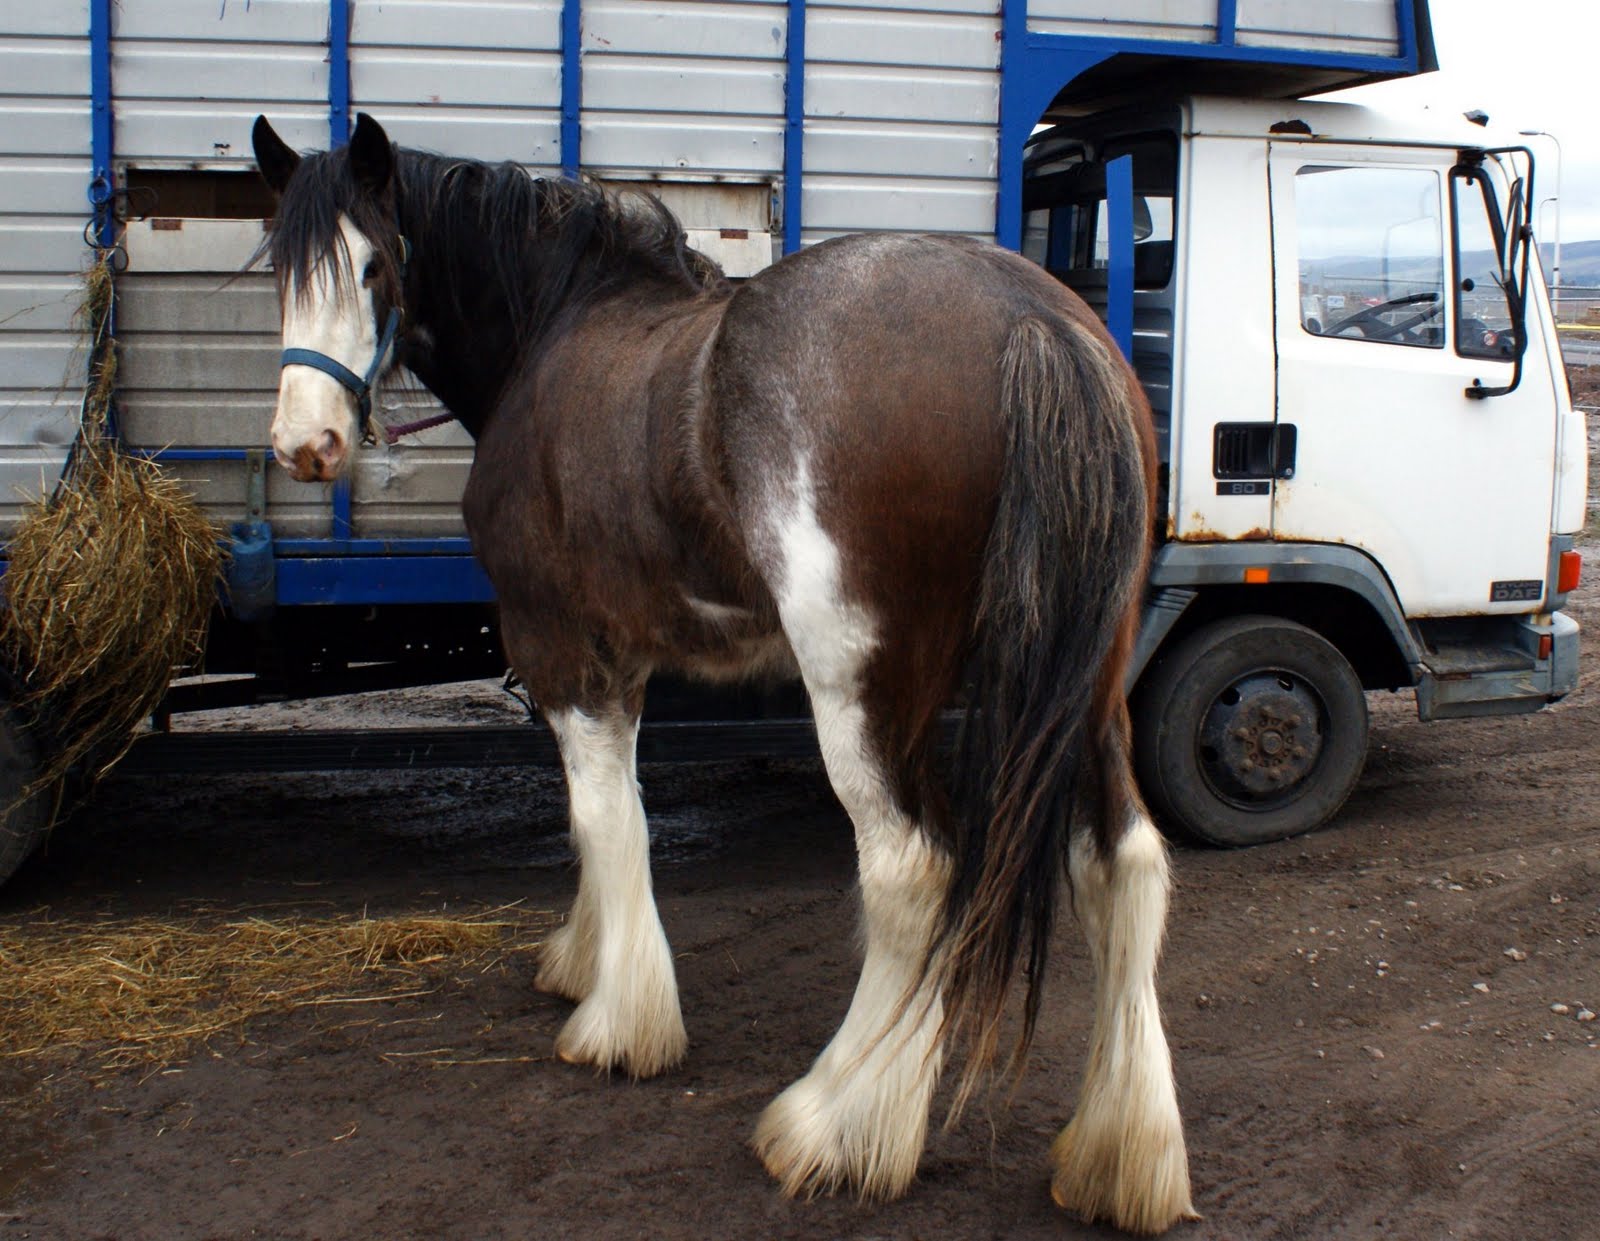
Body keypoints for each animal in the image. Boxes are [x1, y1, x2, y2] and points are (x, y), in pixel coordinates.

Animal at [250, 112, 1196, 1235]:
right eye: (278, 269)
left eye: (373, 264)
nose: (305, 444)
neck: (558, 331)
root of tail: (1031, 321)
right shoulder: (616, 654)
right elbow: (599, 812)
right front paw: (584, 958)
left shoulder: (557, 640)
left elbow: (604, 817)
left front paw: (619, 1021)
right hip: (1087, 686)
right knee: (1122, 866)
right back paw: (1121, 1152)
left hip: (863, 696)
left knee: (911, 871)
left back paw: (836, 1125)